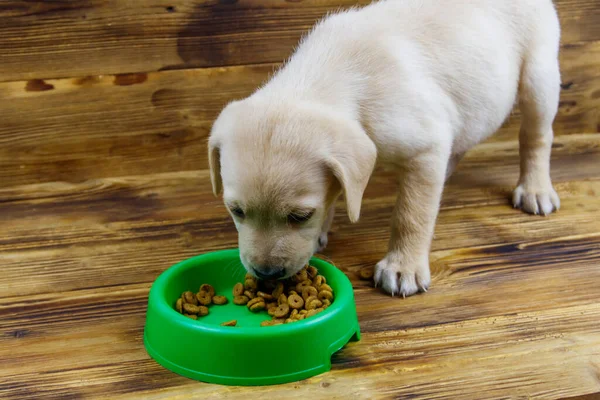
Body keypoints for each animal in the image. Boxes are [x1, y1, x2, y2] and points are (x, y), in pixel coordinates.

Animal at [207, 0, 564, 296]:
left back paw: (535, 189)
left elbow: (411, 214)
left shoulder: (426, 146)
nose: (266, 274)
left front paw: (403, 267)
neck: (329, 75)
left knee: (536, 137)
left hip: (538, 76)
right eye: (236, 211)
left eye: (300, 216)